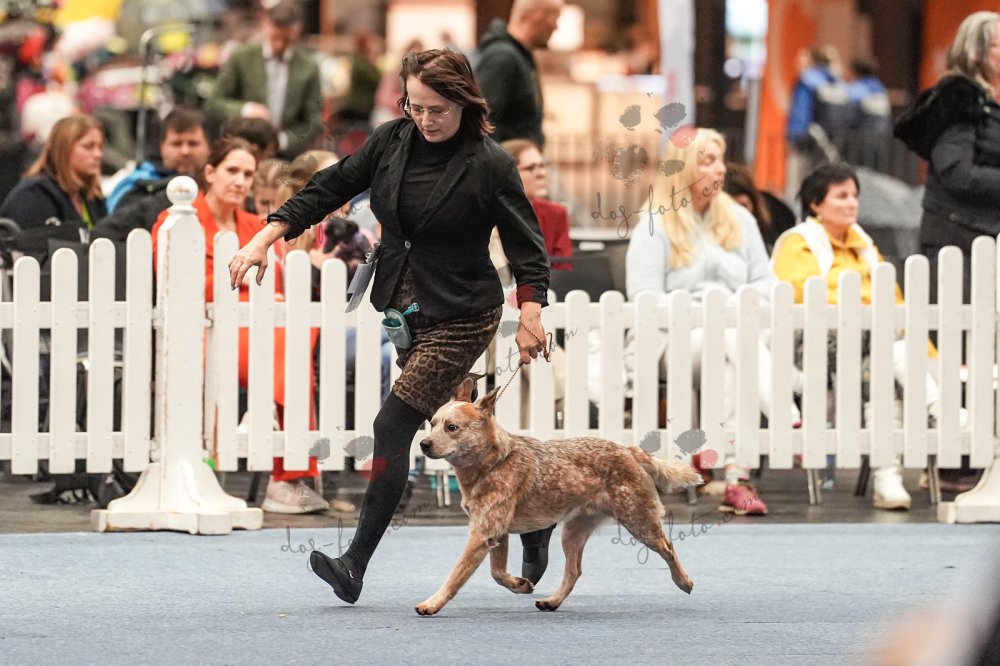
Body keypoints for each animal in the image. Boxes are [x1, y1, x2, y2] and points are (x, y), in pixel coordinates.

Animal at [414, 378, 703, 616]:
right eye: (432, 424)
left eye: (452, 427)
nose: (423, 444)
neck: (493, 464)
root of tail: (629, 450)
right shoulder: (495, 532)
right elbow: (497, 573)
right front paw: (520, 584)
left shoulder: (482, 534)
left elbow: (456, 575)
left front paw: (432, 603)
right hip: (572, 531)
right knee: (574, 571)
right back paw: (551, 601)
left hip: (638, 521)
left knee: (668, 547)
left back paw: (684, 581)